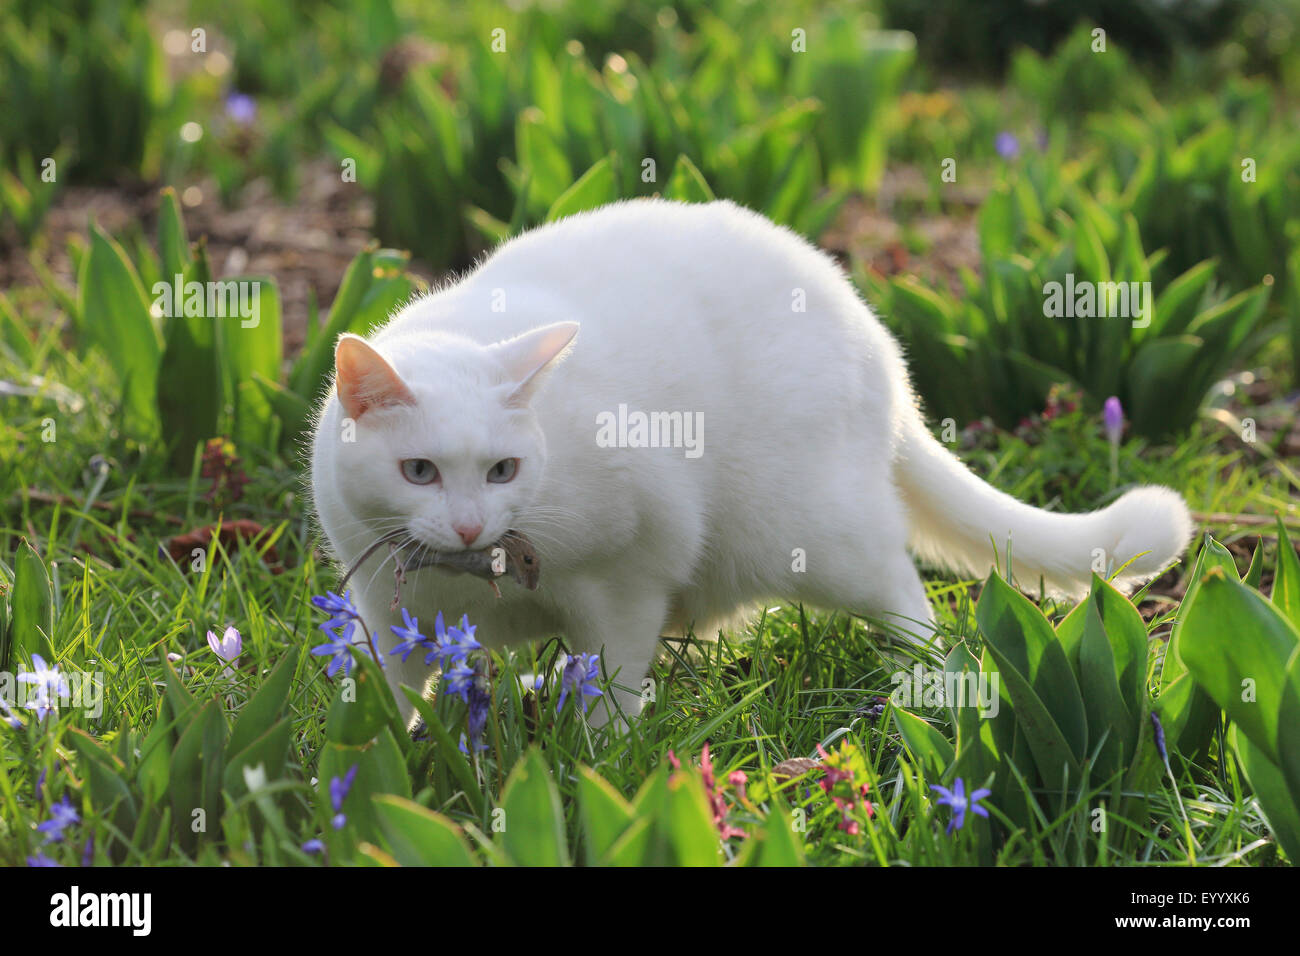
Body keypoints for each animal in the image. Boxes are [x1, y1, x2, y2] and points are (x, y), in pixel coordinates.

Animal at [309, 200, 1190, 723]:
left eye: (503, 471)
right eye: (419, 471)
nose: (466, 526)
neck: (473, 578)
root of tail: (880, 343)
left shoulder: (629, 573)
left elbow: (617, 682)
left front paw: (599, 761)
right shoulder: (386, 611)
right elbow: (387, 700)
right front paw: (380, 762)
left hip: (812, 534)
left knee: (906, 594)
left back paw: (923, 682)